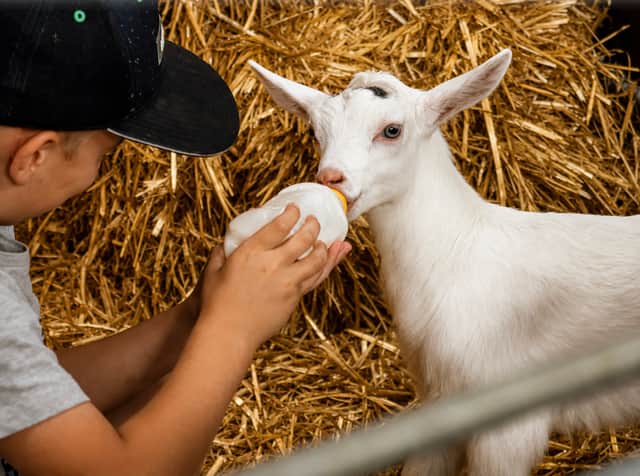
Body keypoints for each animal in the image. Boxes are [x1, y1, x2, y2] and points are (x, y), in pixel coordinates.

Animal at [248, 50, 640, 475]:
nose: (331, 178)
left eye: (391, 130)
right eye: (317, 133)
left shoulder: (507, 422)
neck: (456, 252)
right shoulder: (440, 404)